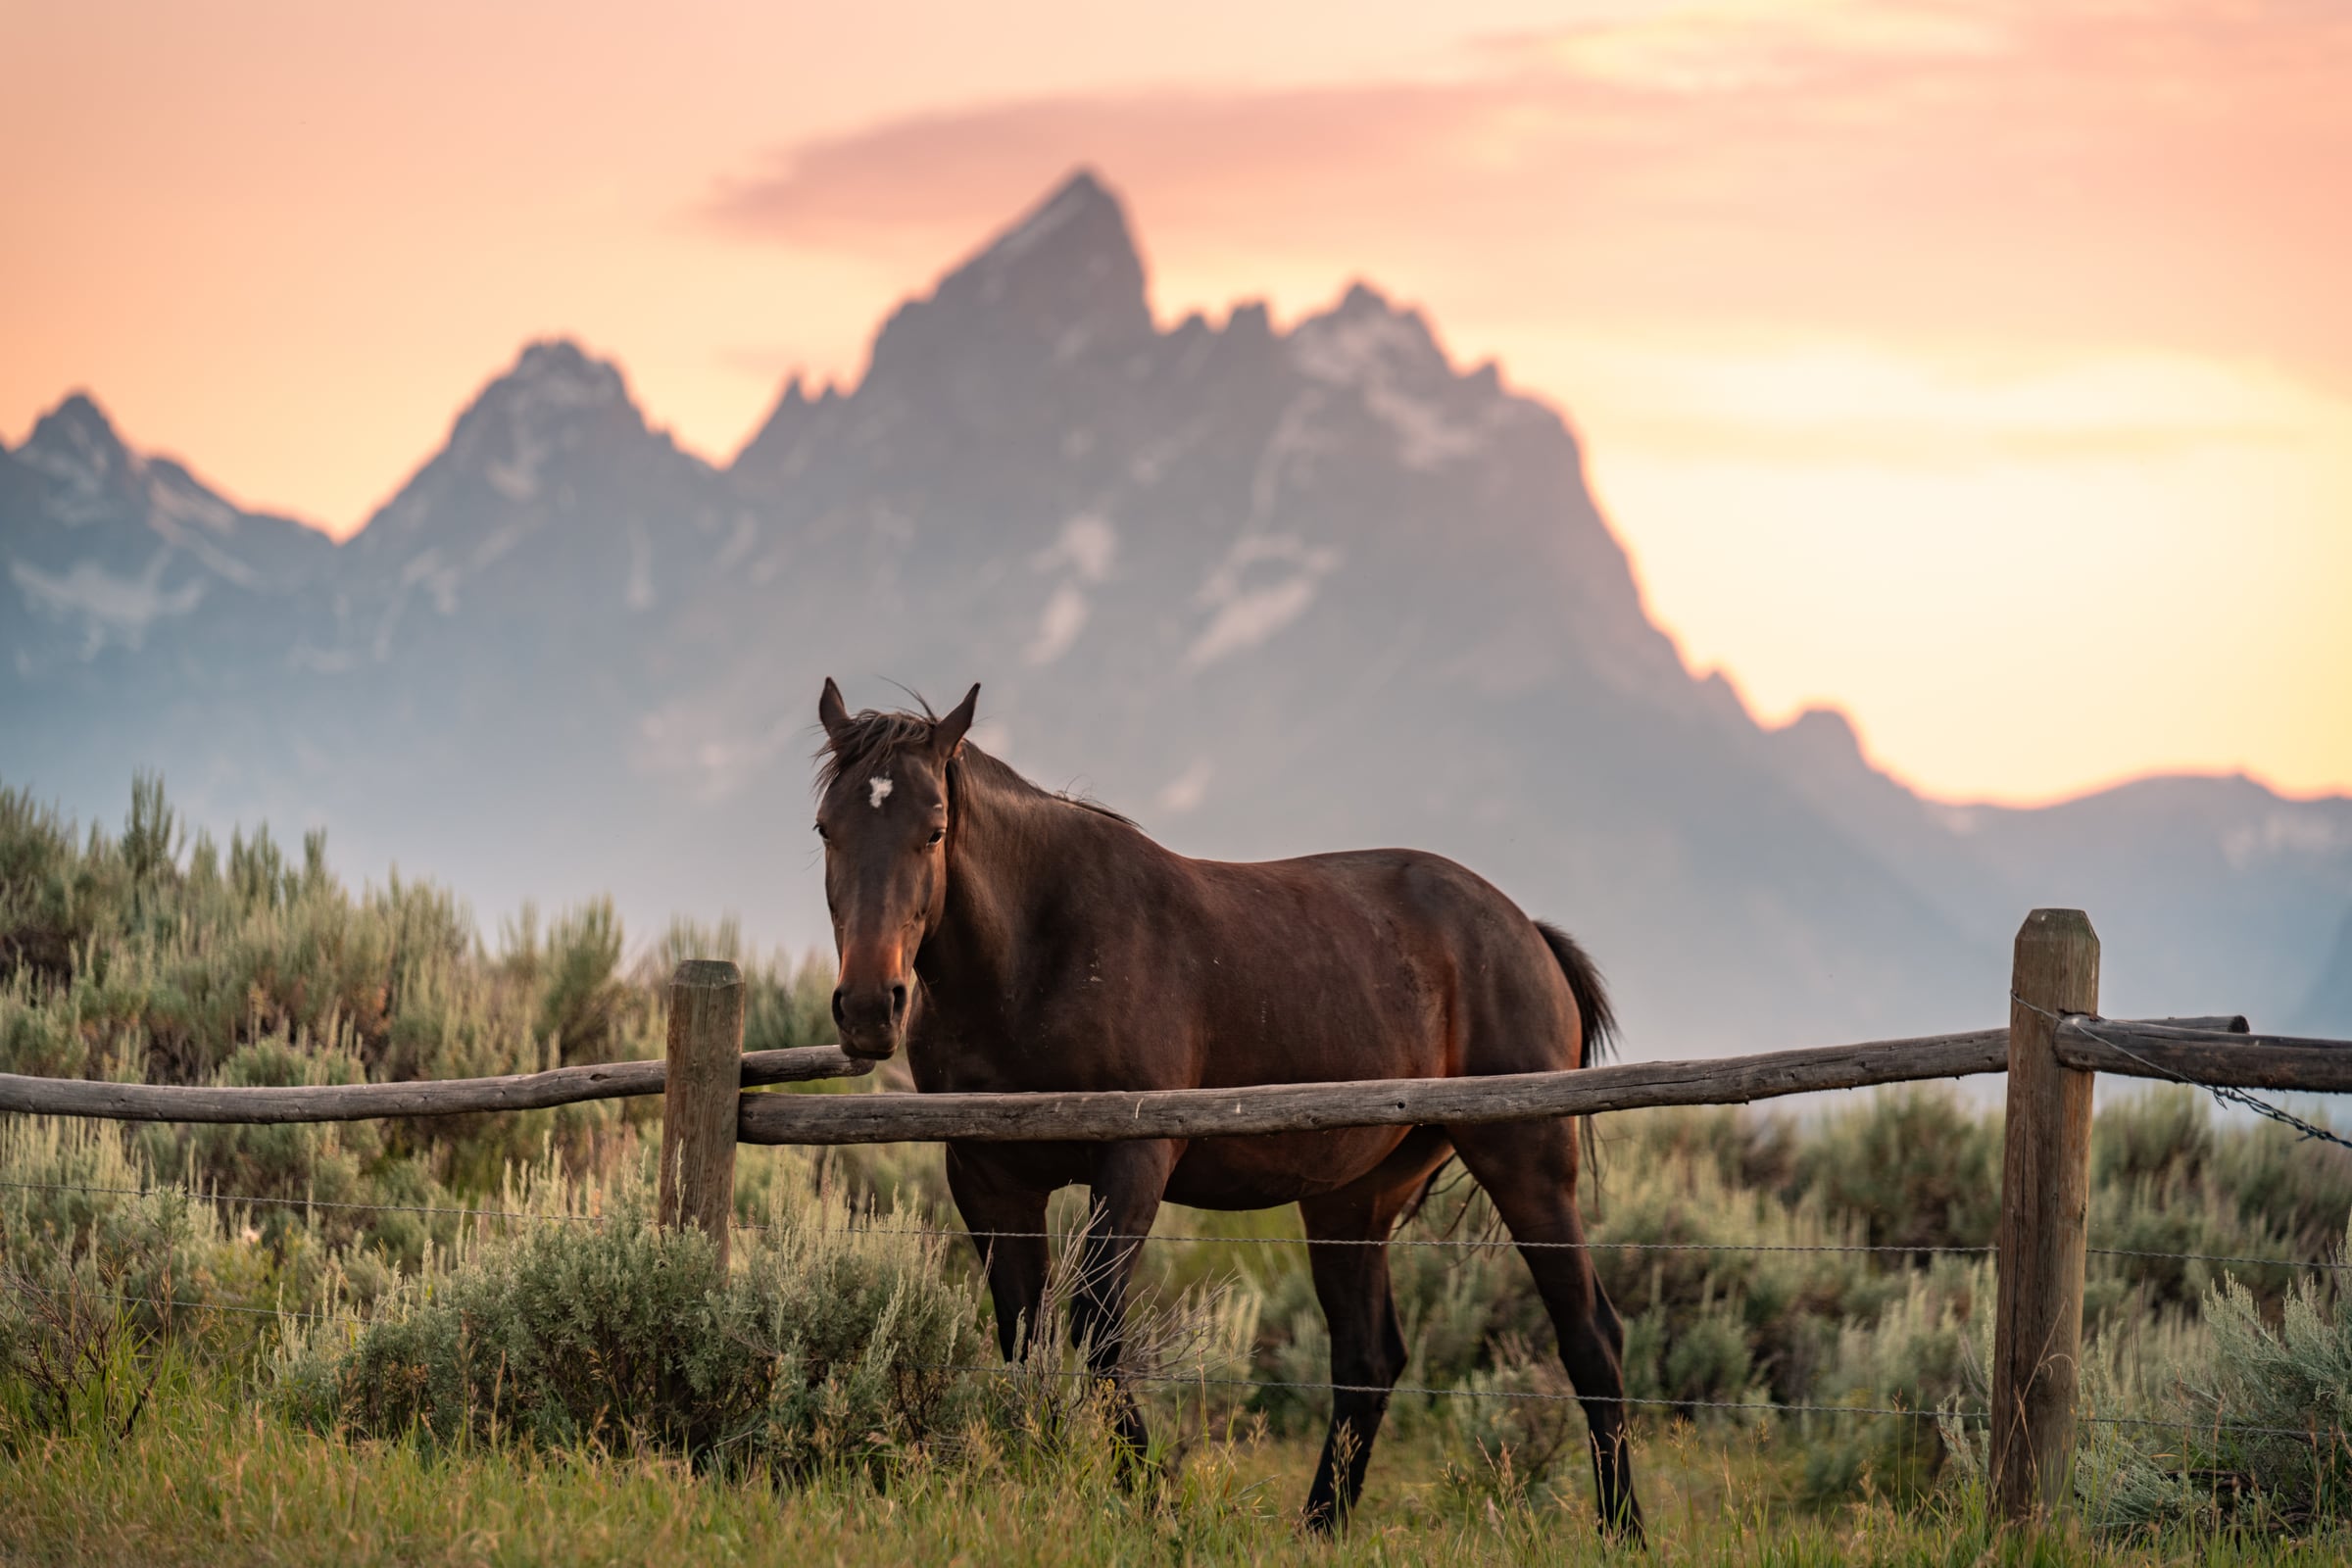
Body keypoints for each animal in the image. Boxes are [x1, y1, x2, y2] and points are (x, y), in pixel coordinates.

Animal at [810, 678, 1642, 1537]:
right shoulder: (987, 1176)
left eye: (934, 828)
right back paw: (1320, 1526)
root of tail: (1526, 932)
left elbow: (1097, 1331)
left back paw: (1623, 1528)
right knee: (1367, 1357)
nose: (869, 1006)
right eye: (826, 828)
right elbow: (1026, 1336)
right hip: (1355, 1197)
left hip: (1526, 1164)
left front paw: (1152, 1502)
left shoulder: (1133, 1160)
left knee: (1590, 1335)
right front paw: (1044, 1483)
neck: (1037, 954)